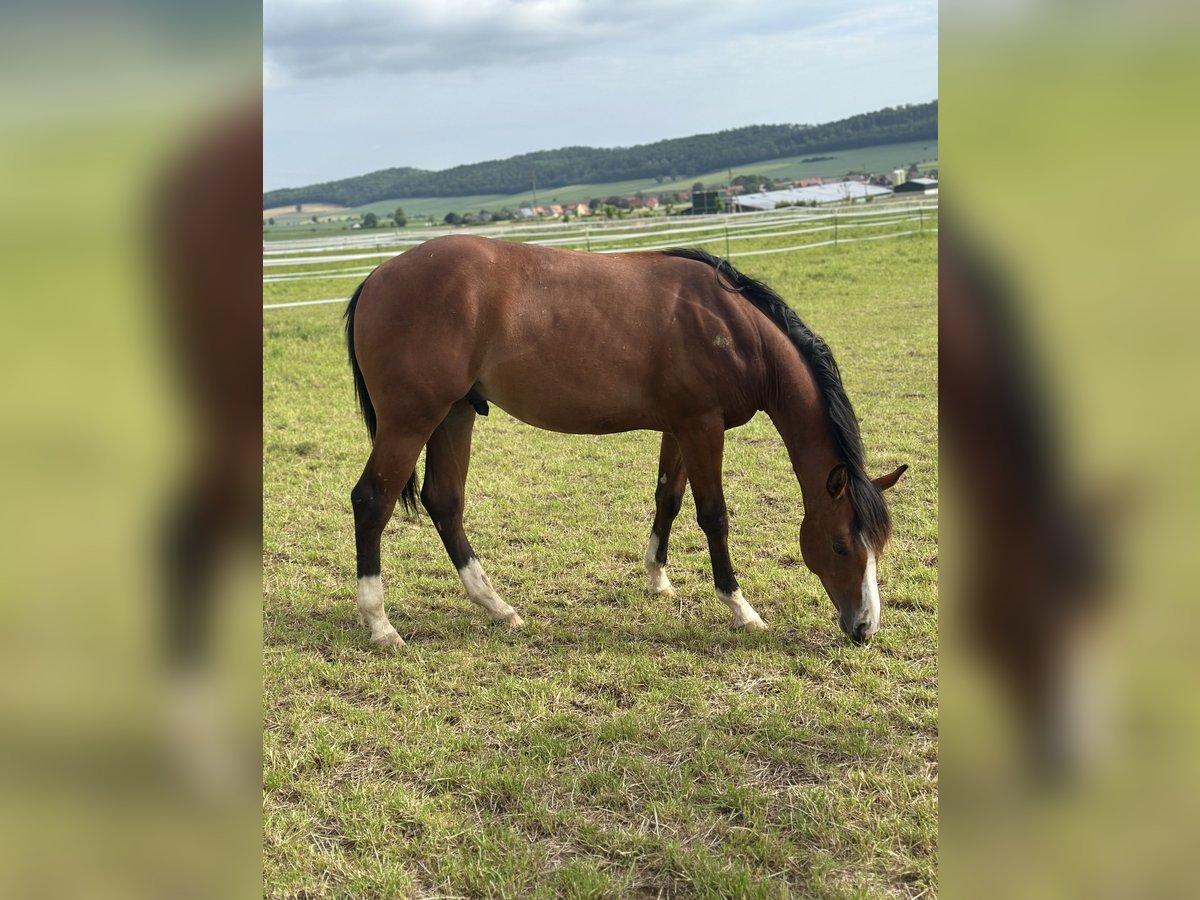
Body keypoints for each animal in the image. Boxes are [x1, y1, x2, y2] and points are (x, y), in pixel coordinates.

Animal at [344, 234, 906, 649]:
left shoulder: (680, 427)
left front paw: (657, 577)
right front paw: (741, 608)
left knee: (445, 503)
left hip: (455, 414)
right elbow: (714, 516)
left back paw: (498, 608)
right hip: (411, 421)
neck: (730, 327)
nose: (865, 628)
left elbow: (669, 498)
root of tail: (377, 276)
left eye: (879, 544)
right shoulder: (702, 427)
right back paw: (381, 625)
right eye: (839, 544)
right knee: (372, 502)